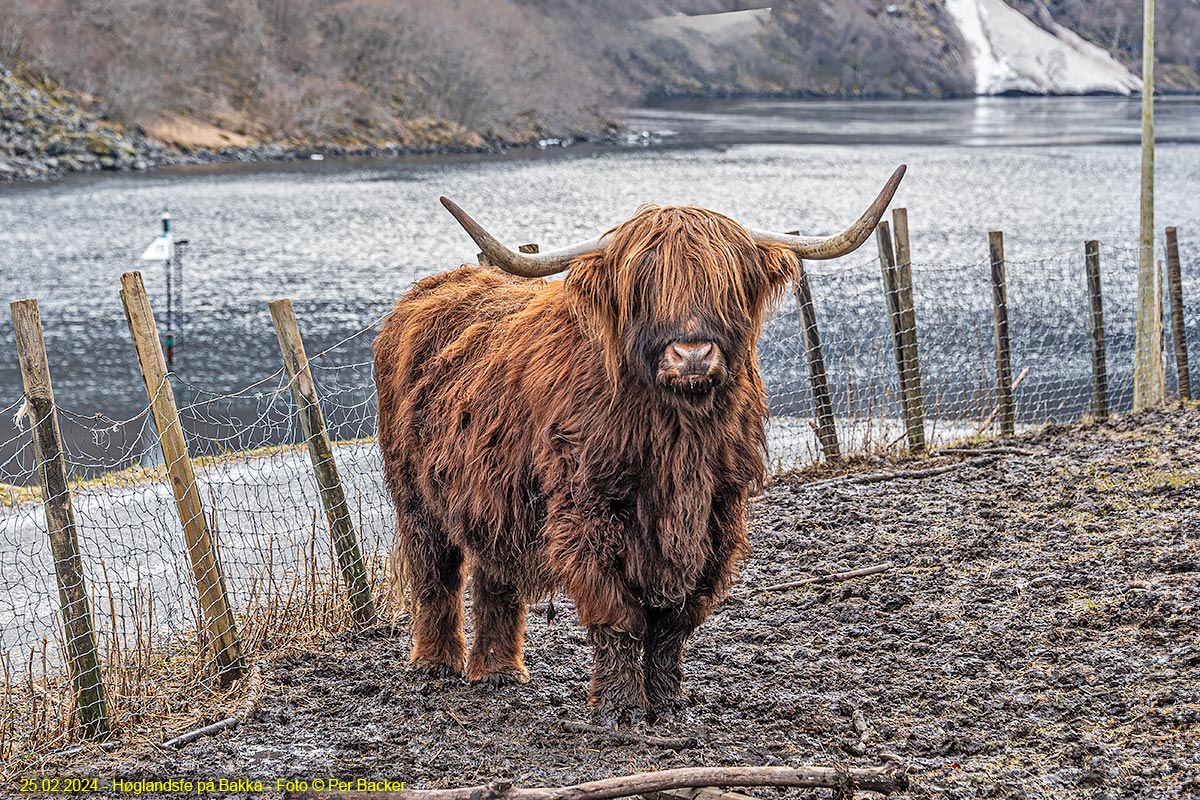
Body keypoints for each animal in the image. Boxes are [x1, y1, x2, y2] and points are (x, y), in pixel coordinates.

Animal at [369, 165, 902, 724]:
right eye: (644, 284)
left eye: (725, 283)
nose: (692, 354)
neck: (677, 440)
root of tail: (430, 289)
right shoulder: (587, 512)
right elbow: (619, 612)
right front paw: (620, 707)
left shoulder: (718, 511)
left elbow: (675, 620)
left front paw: (667, 703)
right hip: (414, 494)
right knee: (435, 574)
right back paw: (434, 664)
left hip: (497, 495)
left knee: (496, 575)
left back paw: (498, 672)